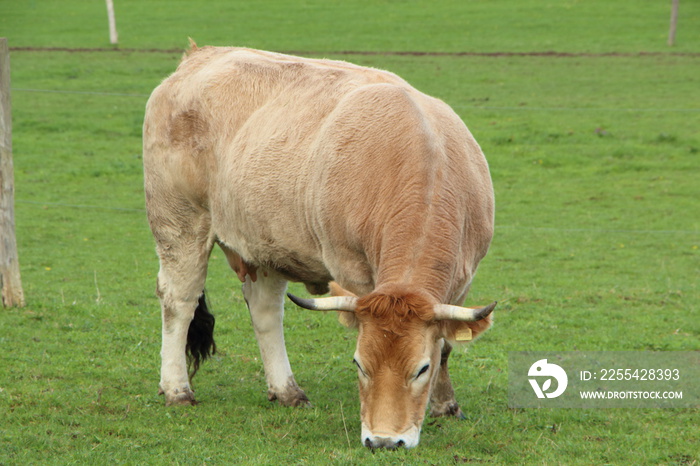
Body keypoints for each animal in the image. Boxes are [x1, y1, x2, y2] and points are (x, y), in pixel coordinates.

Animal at [142, 42, 494, 448]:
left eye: (422, 369)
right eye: (360, 365)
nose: (384, 440)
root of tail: (199, 55)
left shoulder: (464, 280)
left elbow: (448, 345)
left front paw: (445, 405)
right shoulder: (354, 274)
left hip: (265, 241)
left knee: (265, 311)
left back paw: (287, 390)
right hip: (179, 223)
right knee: (179, 302)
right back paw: (177, 389)